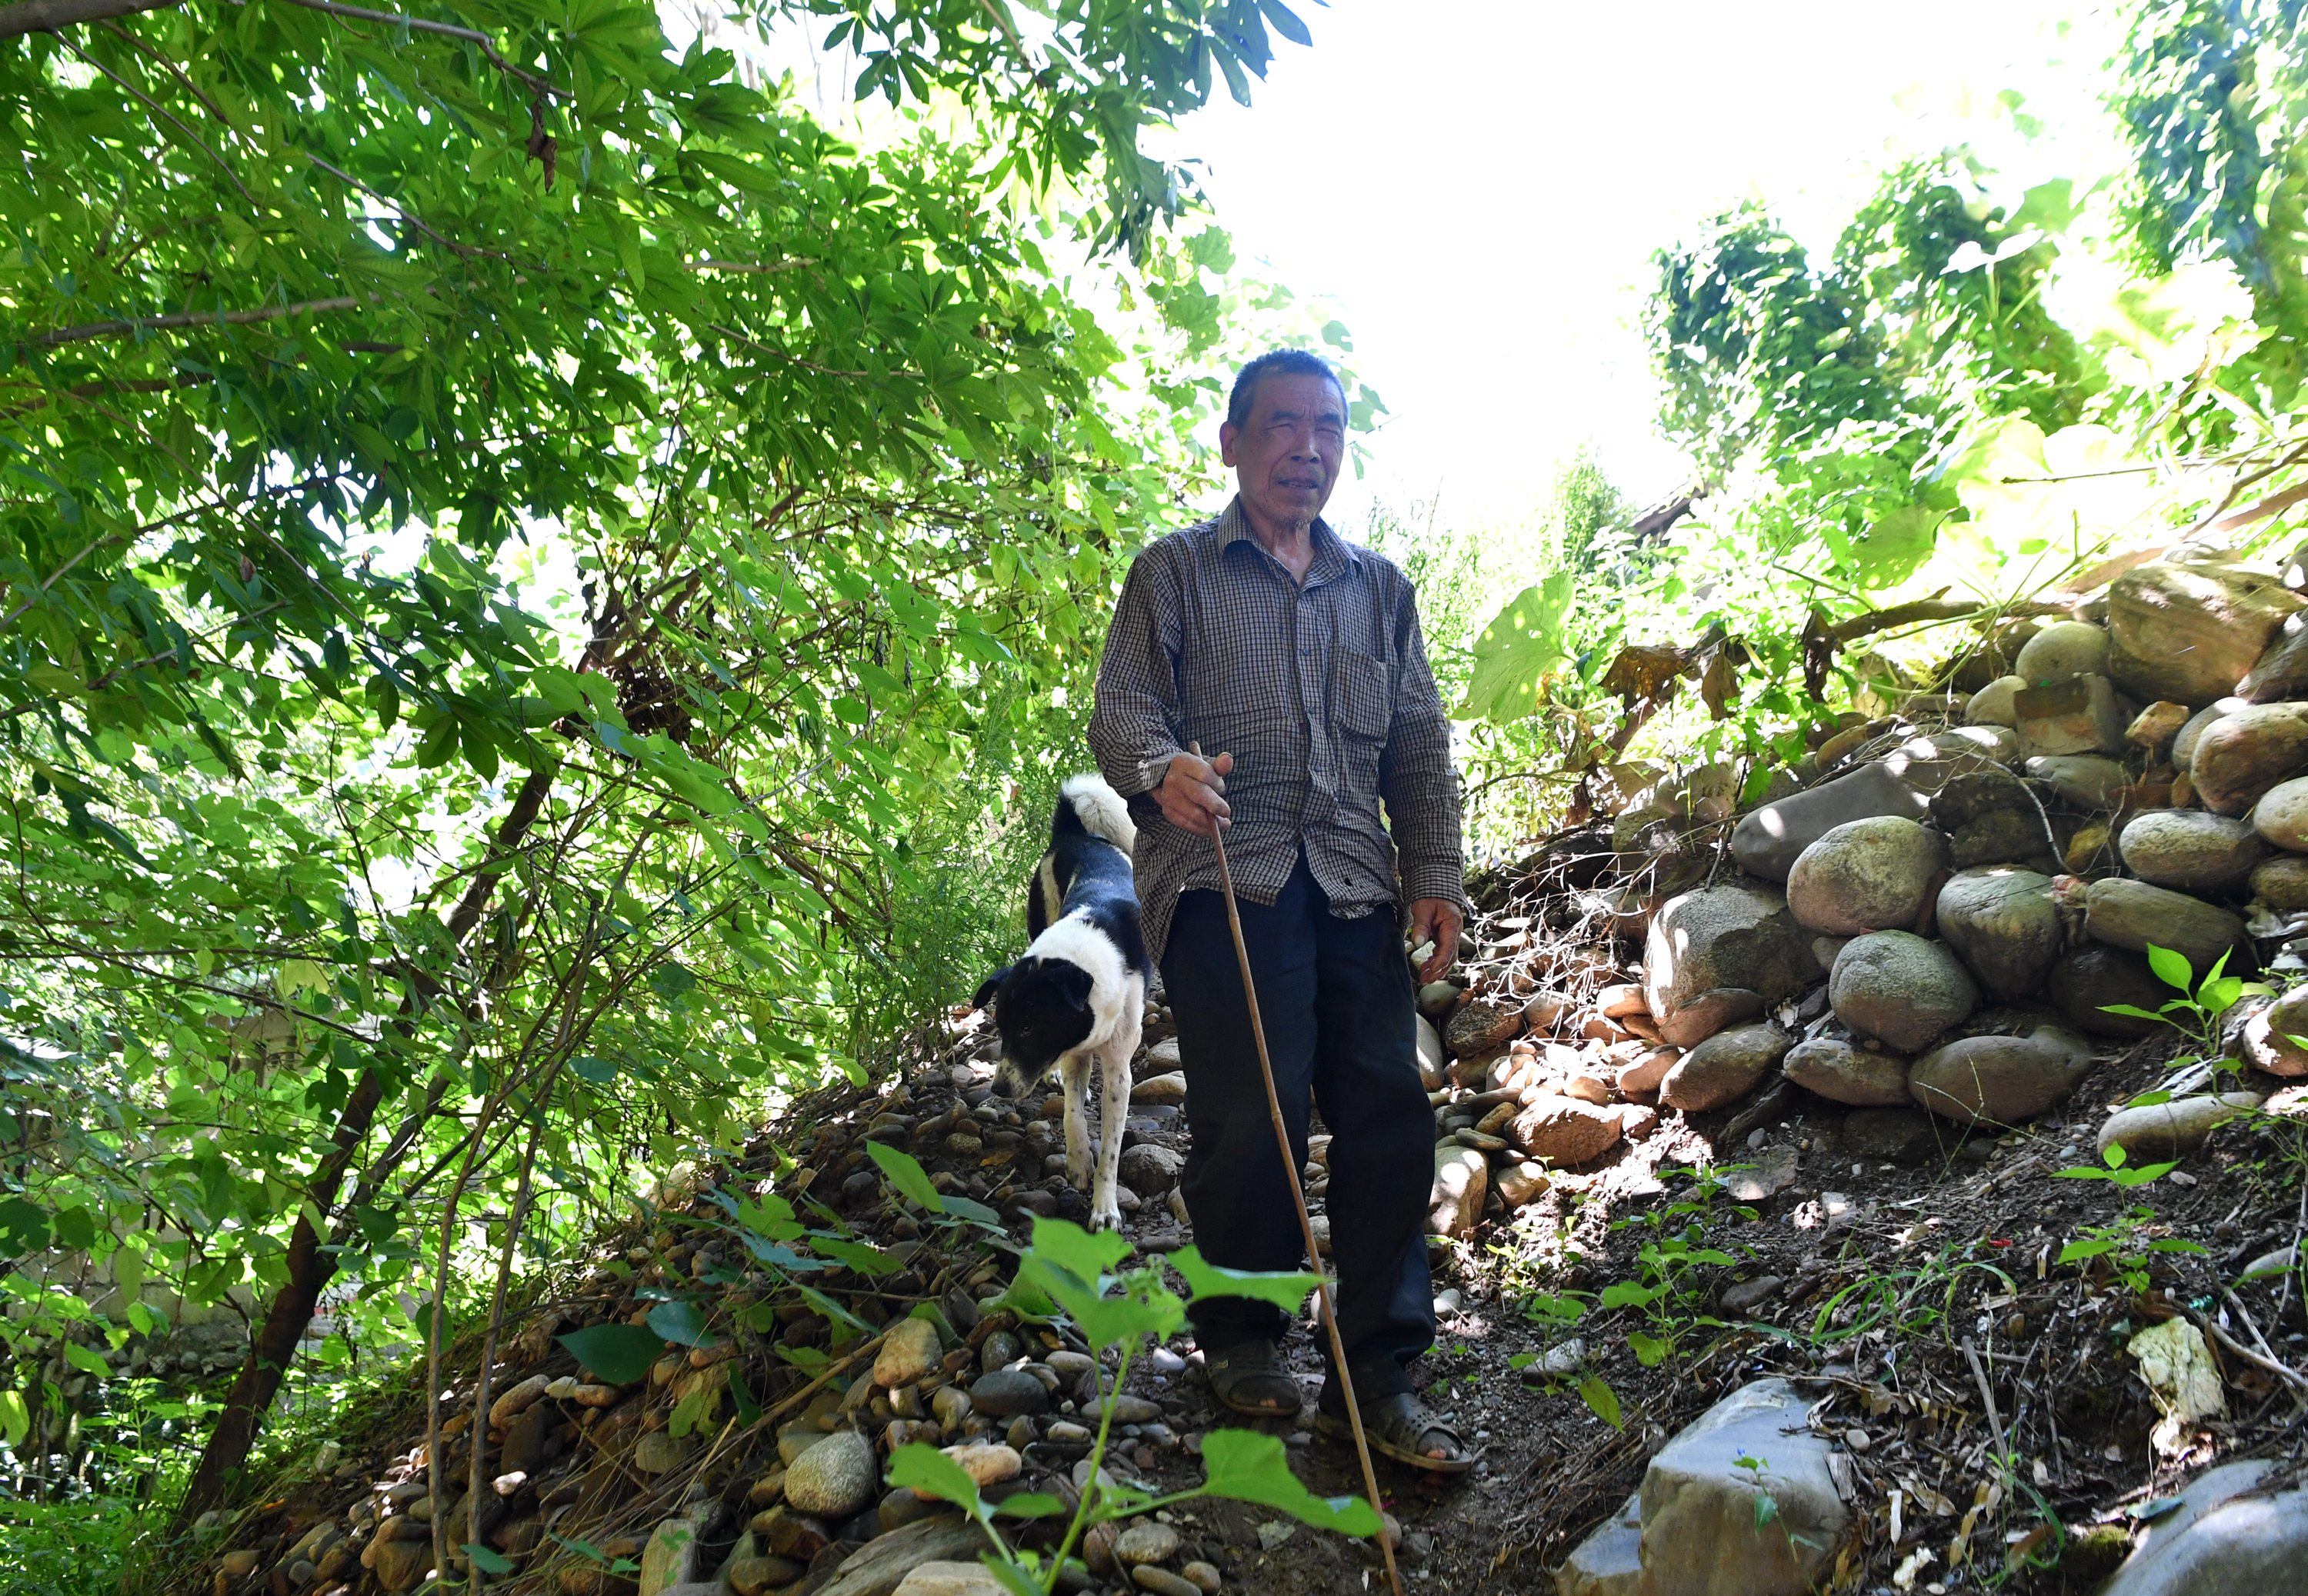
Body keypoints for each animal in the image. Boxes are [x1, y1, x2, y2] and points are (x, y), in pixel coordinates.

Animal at [969, 775, 1149, 1236]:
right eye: (1001, 1028)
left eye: (1029, 1027)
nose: (998, 1090)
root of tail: (1073, 833)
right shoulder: (1073, 1051)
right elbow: (1071, 1115)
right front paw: (1078, 1162)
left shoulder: (1119, 1070)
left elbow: (1112, 1149)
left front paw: (1105, 1209)